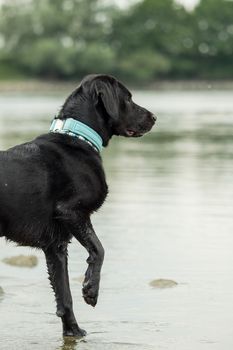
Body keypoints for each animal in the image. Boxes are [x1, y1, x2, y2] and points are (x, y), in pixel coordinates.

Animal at [0, 74, 157, 336]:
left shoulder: (55, 245)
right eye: (128, 98)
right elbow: (99, 250)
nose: (154, 117)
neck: (77, 138)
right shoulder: (73, 213)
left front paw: (73, 331)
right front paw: (90, 290)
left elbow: (64, 295)